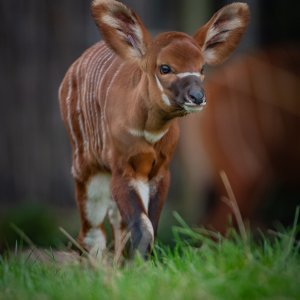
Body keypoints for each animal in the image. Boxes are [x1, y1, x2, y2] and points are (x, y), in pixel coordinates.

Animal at [58, 0, 248, 258]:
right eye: (165, 68)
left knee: (117, 221)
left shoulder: (160, 172)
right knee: (92, 228)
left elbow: (149, 224)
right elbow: (143, 226)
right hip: (85, 165)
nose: (197, 97)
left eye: (202, 68)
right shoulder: (124, 168)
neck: (150, 130)